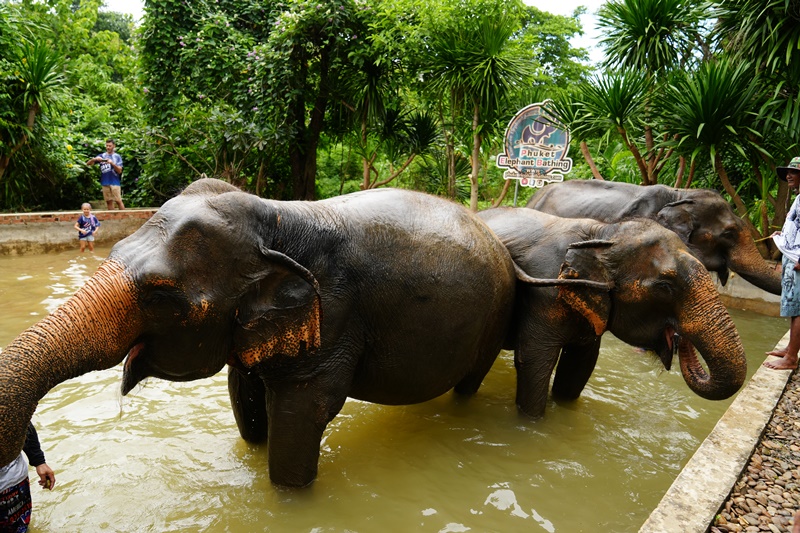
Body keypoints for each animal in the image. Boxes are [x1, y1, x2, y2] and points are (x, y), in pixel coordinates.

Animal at [0, 179, 599, 488]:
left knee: (470, 381)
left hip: (492, 317)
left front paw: (288, 494)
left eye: (161, 294)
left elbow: (302, 412)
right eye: (114, 250)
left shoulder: (332, 316)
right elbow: (245, 397)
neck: (278, 218)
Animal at [478, 207, 747, 419]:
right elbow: (535, 361)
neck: (603, 234)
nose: (680, 339)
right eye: (665, 286)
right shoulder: (544, 294)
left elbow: (581, 364)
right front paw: (532, 423)